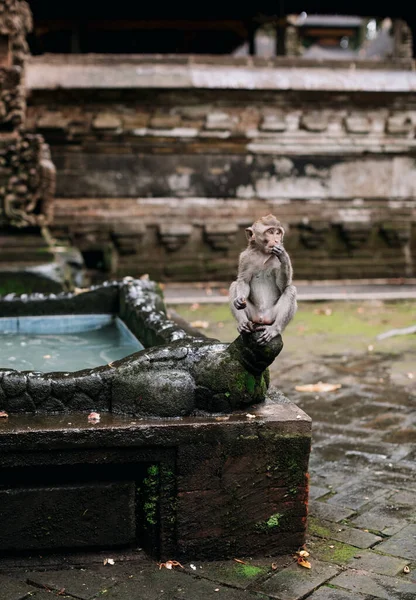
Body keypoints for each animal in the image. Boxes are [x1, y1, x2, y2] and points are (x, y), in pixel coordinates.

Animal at [229, 213, 298, 344]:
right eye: (270, 232)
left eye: (278, 233)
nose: (276, 240)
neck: (263, 254)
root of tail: (262, 318)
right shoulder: (245, 257)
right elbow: (243, 281)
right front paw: (239, 300)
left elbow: (283, 286)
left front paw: (283, 255)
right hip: (252, 315)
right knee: (234, 285)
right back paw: (243, 324)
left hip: (272, 316)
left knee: (290, 290)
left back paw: (274, 329)